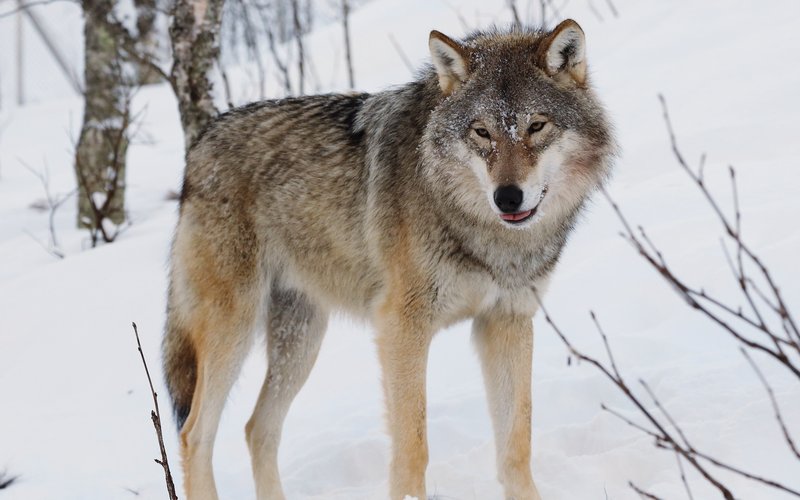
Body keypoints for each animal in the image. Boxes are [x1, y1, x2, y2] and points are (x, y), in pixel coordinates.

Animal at [163, 19, 614, 500]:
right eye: (481, 132)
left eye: (536, 126)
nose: (507, 197)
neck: (483, 234)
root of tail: (199, 145)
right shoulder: (402, 327)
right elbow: (413, 447)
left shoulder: (507, 321)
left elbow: (516, 443)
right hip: (234, 330)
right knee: (195, 435)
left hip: (301, 341)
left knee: (257, 429)